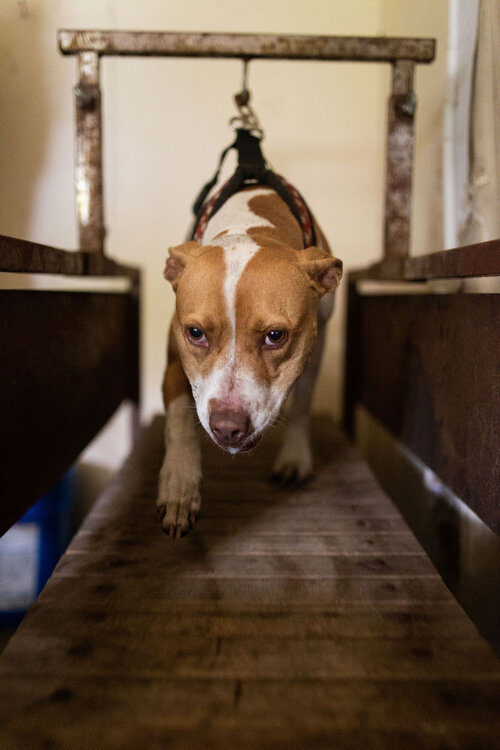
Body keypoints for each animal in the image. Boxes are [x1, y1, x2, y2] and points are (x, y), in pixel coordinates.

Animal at [158, 179, 342, 536]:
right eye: (195, 333)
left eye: (276, 336)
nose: (227, 427)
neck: (250, 225)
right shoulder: (175, 355)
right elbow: (179, 420)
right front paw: (180, 485)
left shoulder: (316, 342)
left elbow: (302, 404)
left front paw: (295, 457)